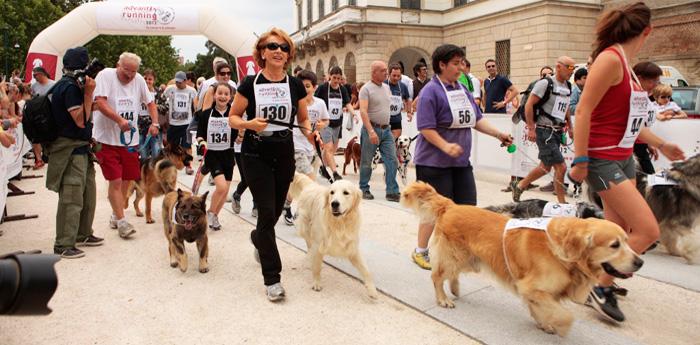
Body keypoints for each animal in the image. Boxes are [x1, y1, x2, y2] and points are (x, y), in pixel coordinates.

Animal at [402, 183, 644, 336]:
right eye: (615, 245)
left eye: (627, 240)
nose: (640, 262)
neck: (562, 252)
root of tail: (451, 205)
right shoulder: (532, 287)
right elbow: (564, 315)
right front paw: (557, 326)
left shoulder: (538, 291)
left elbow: (543, 309)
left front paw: (544, 323)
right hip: (454, 255)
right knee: (437, 276)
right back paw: (443, 299)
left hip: (469, 258)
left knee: (452, 275)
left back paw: (455, 289)